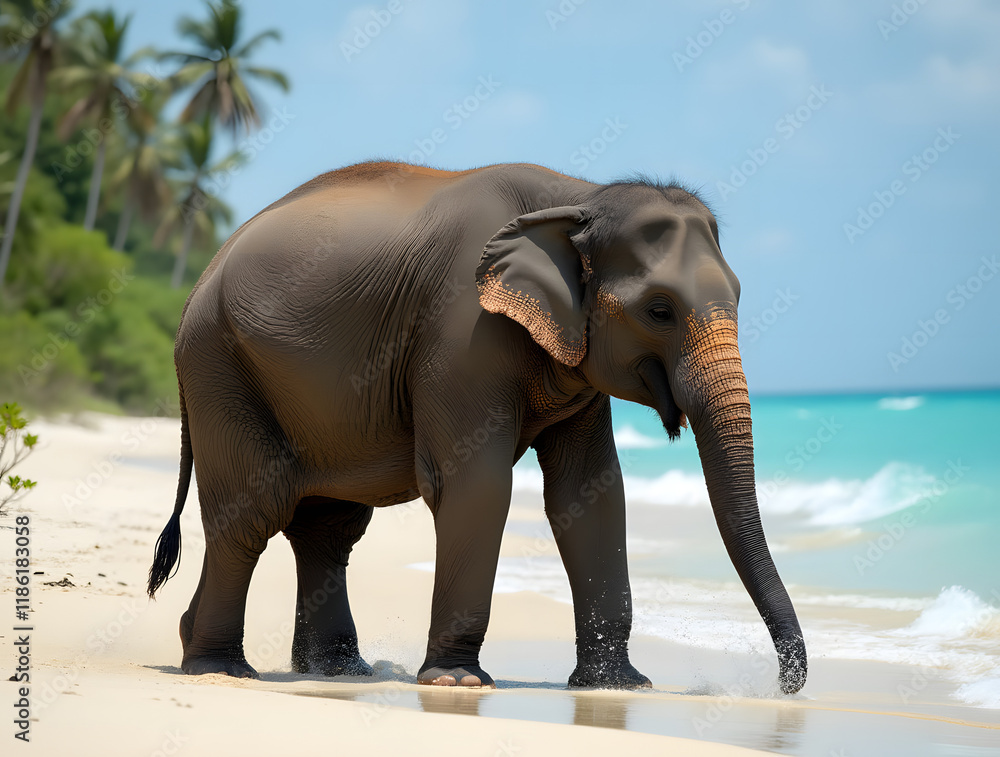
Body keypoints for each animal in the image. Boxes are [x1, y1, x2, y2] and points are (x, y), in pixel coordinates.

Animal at [147, 160, 807, 694]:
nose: (782, 685)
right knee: (254, 512)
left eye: (740, 297)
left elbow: (591, 493)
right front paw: (458, 682)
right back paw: (220, 669)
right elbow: (477, 484)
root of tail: (198, 281)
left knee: (327, 528)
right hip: (221, 366)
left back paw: (332, 671)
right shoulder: (462, 330)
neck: (579, 196)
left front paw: (619, 686)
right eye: (660, 310)